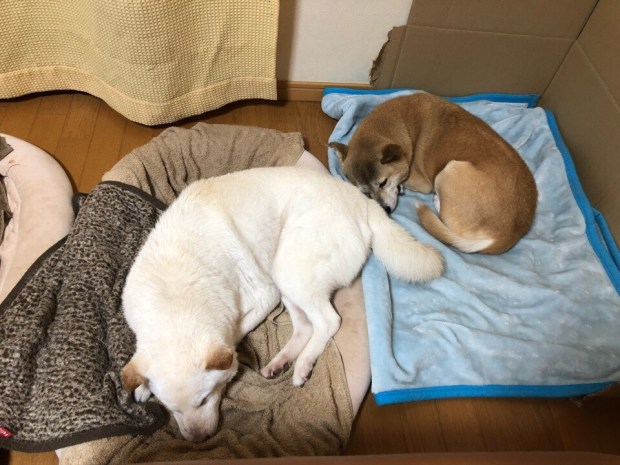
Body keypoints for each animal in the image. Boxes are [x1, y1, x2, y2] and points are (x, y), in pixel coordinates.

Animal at [121, 166, 443, 442]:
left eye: (205, 399)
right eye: (170, 408)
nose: (199, 441)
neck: (175, 292)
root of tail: (363, 202)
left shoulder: (263, 296)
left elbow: (234, 337)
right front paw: (141, 387)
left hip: (286, 270)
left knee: (328, 321)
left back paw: (303, 365)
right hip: (288, 280)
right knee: (305, 327)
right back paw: (281, 362)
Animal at [330, 92, 538, 254]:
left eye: (383, 182)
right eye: (364, 192)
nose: (385, 210)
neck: (403, 124)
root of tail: (507, 235)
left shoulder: (422, 181)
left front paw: (402, 186)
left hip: (449, 170)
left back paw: (437, 200)